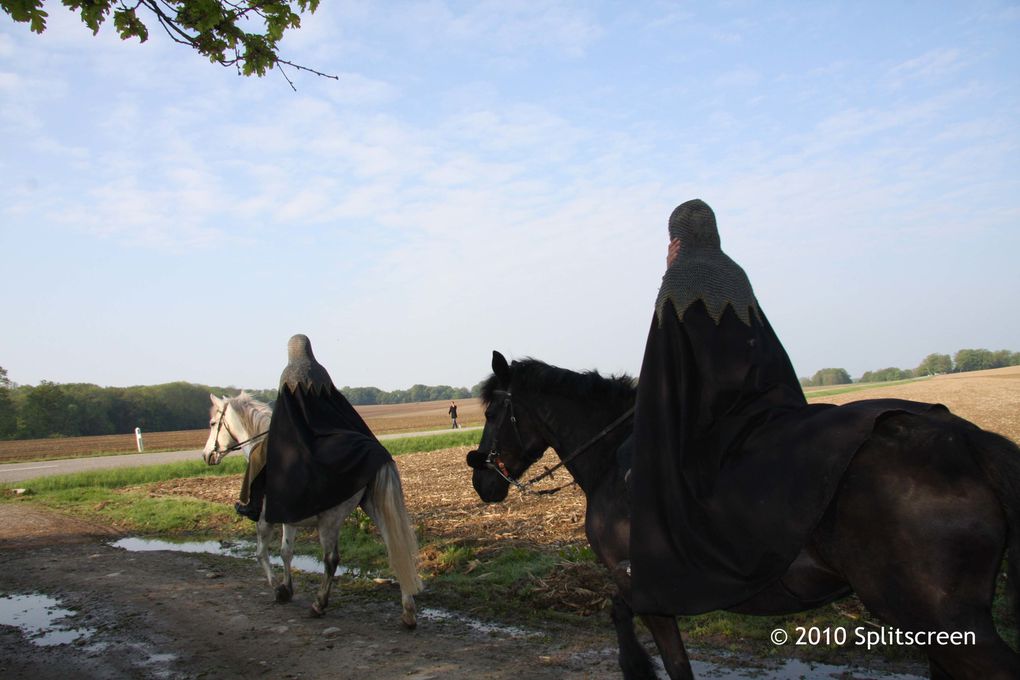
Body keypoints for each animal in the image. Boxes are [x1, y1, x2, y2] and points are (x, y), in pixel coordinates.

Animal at [202, 393, 422, 628]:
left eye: (213, 423)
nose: (206, 455)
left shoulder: (265, 519)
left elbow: (261, 553)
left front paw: (278, 589)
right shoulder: (289, 519)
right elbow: (286, 552)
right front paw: (287, 588)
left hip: (330, 521)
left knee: (331, 559)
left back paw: (318, 604)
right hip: (374, 508)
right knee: (396, 549)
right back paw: (408, 612)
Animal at [467, 354, 1020, 676]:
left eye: (492, 413)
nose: (482, 480)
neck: (616, 456)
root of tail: (964, 440)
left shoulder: (642, 588)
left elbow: (664, 654)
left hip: (942, 619)